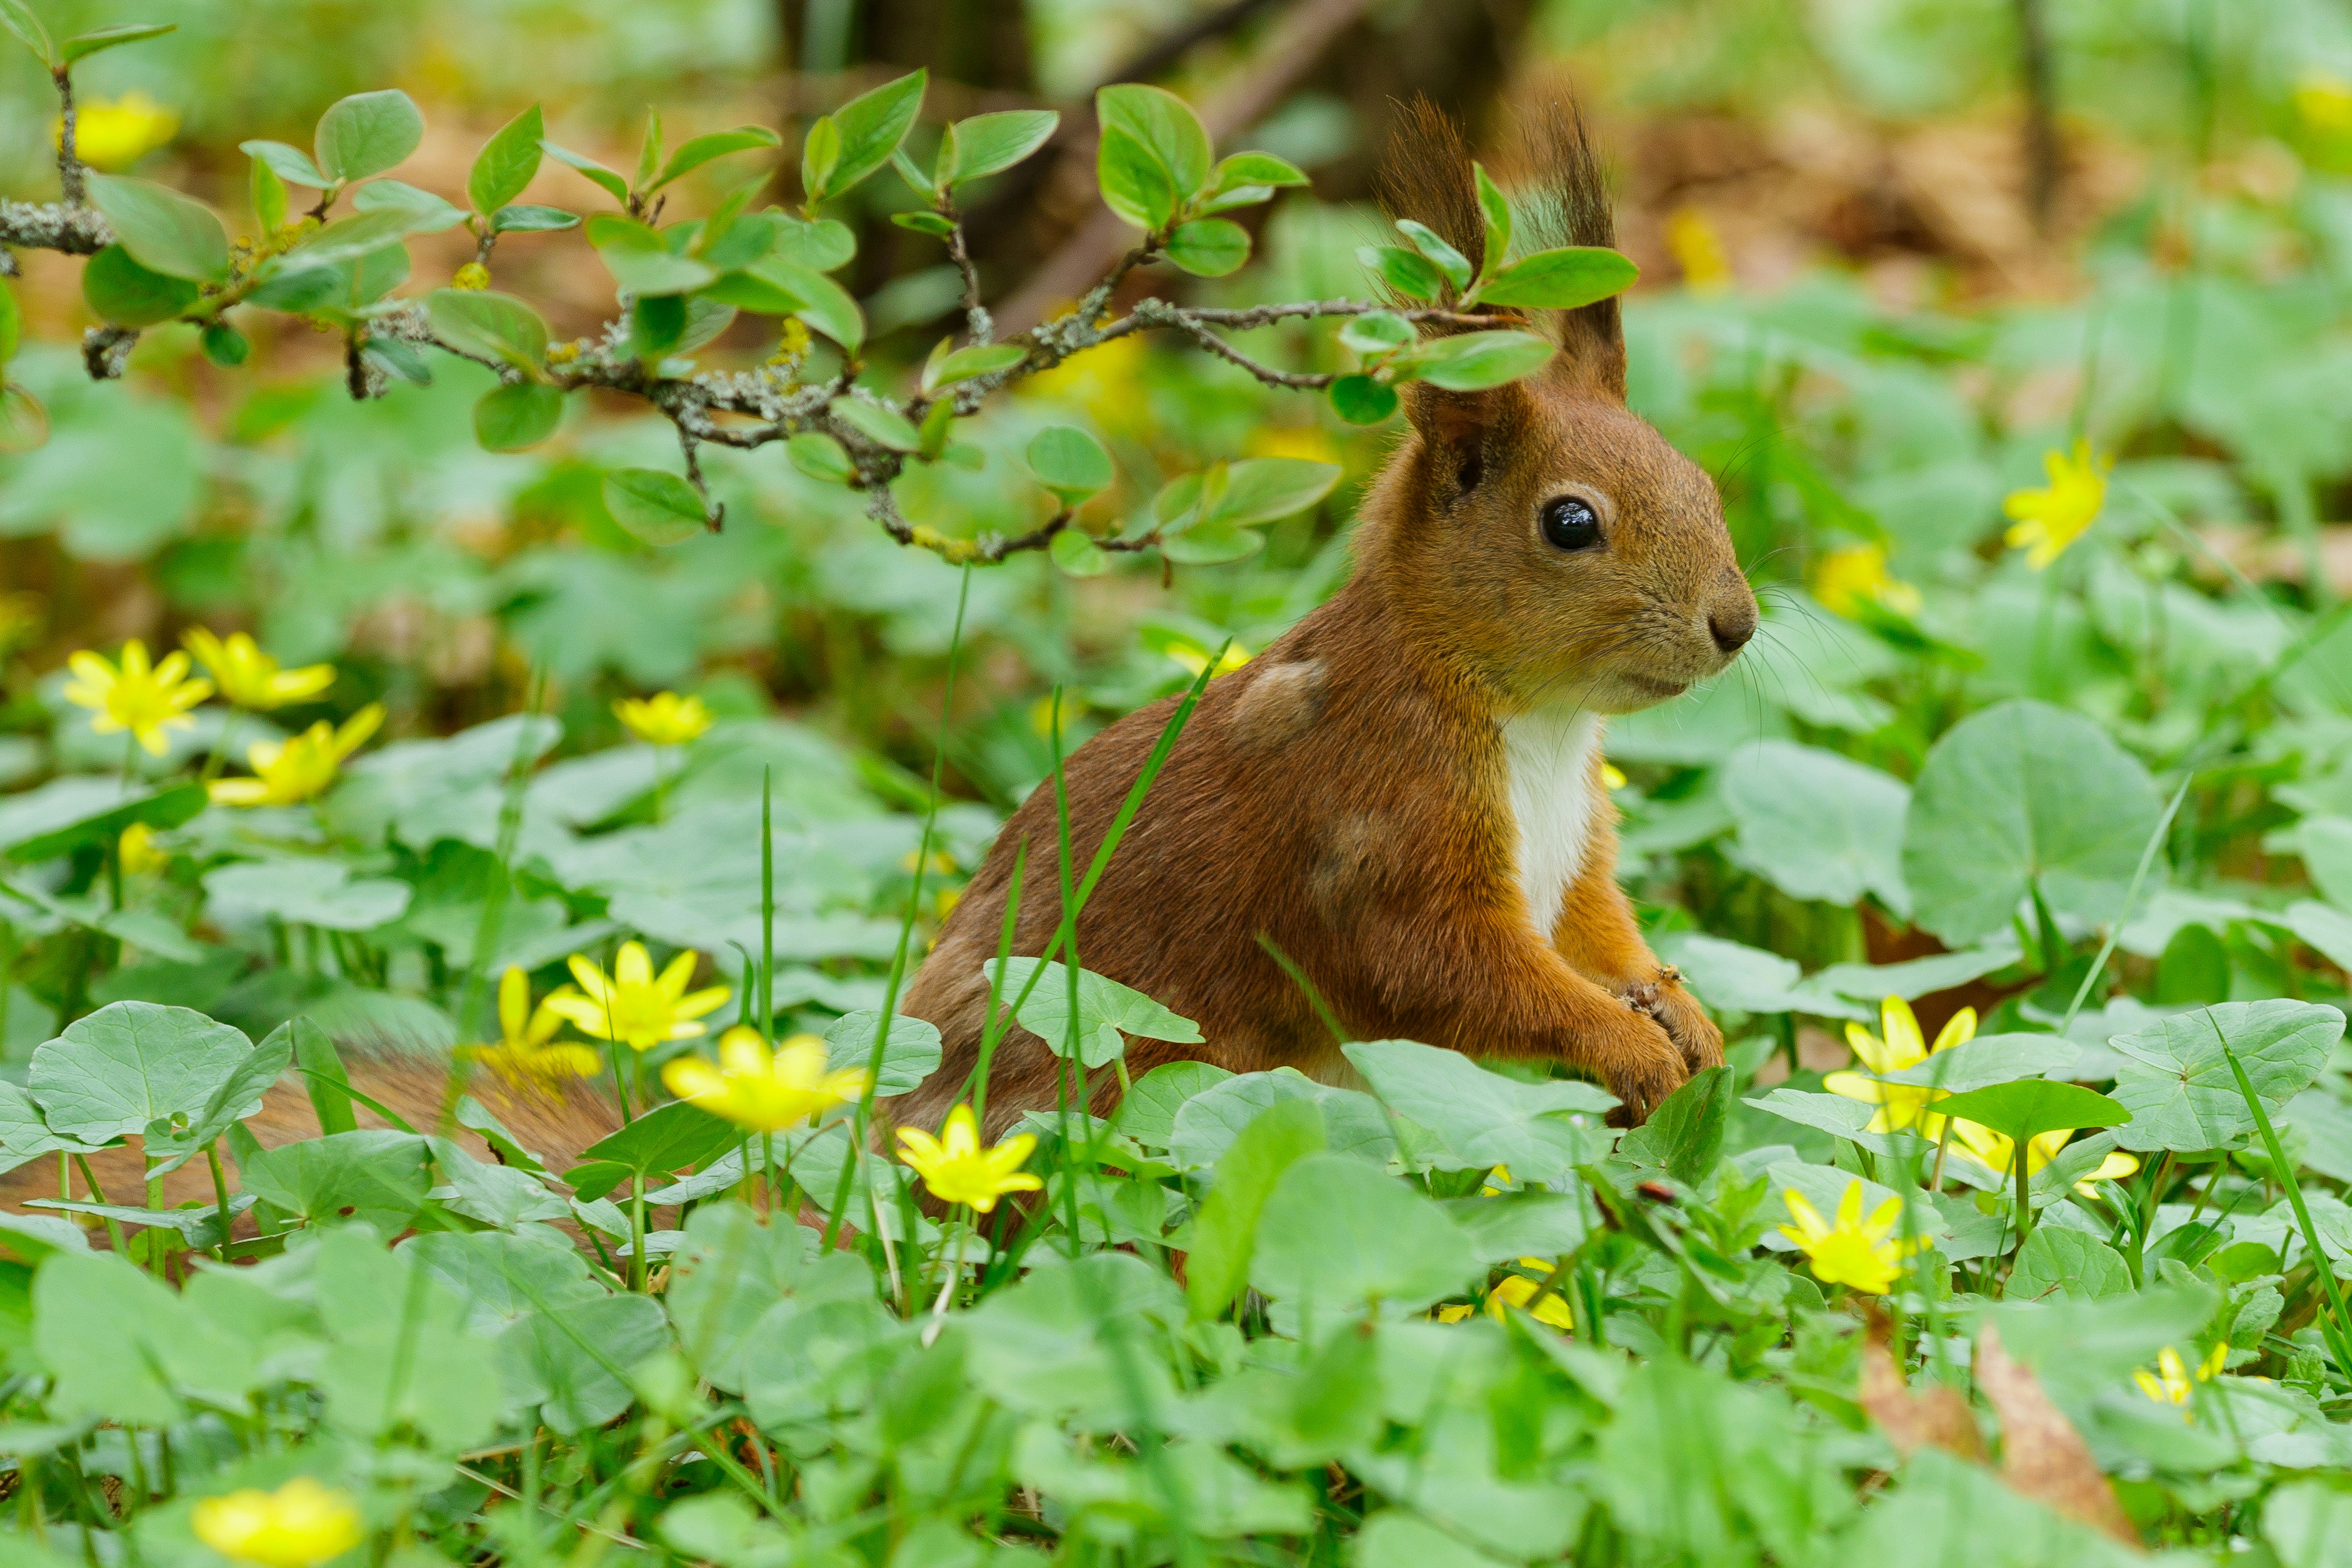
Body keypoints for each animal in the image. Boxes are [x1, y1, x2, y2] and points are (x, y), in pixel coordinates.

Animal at [897, 99, 1754, 1133]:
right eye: (1571, 523)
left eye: (1702, 481)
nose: (1737, 625)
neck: (1538, 721)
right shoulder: (1373, 823)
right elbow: (1442, 969)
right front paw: (1628, 1046)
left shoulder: (1578, 861)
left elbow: (1600, 936)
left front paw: (1680, 1013)